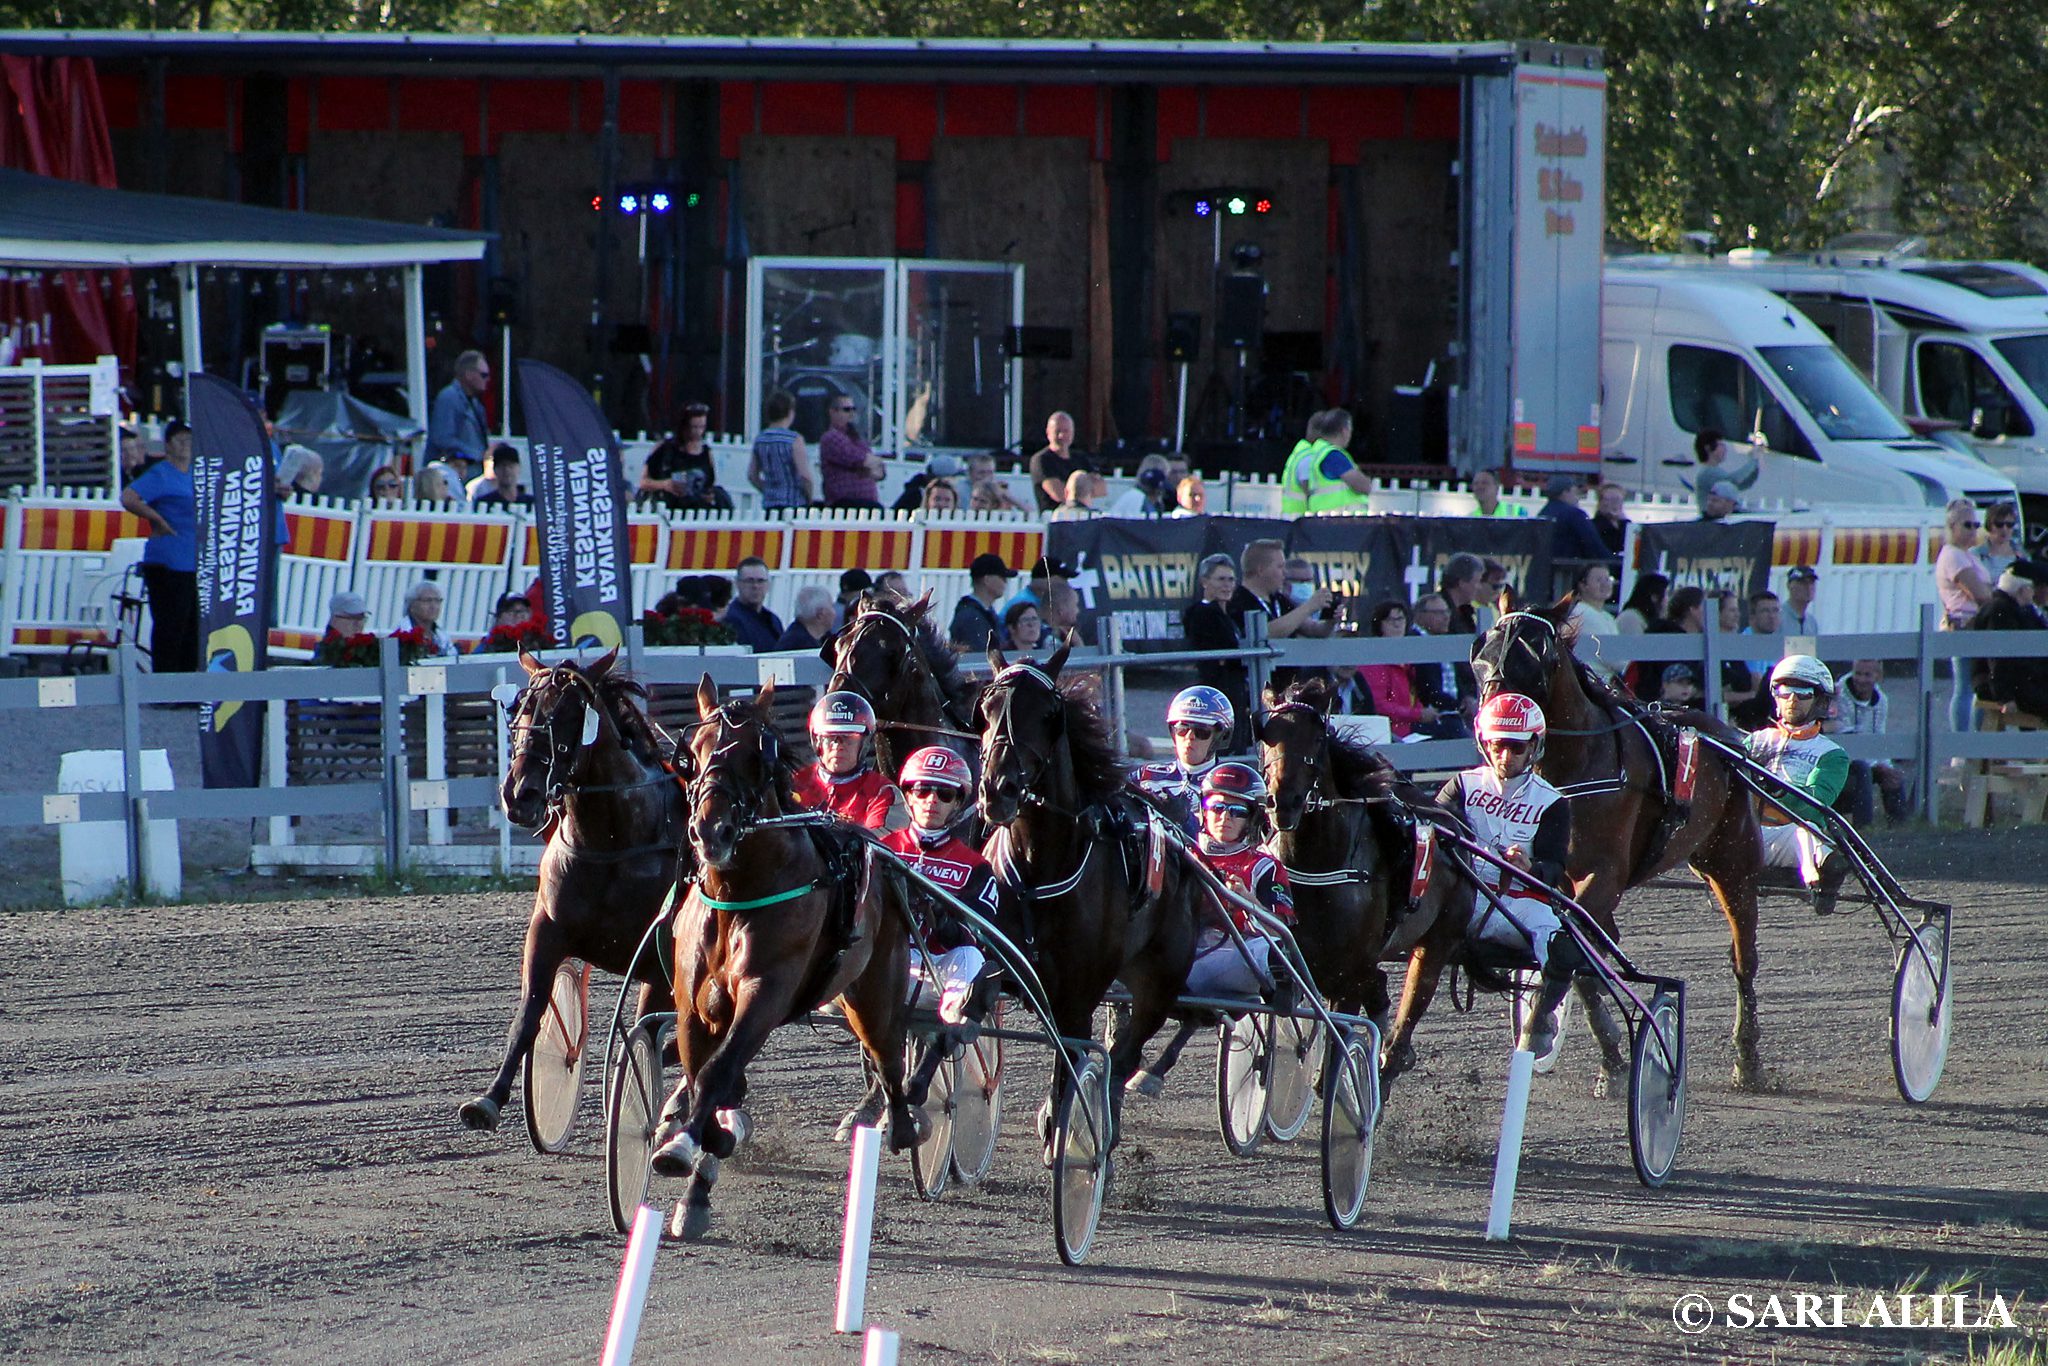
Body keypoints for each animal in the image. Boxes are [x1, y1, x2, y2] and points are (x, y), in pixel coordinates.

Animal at [459, 648, 684, 1134]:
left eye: (567, 718)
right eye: (521, 712)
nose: (519, 794)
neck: (613, 842)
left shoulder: (658, 959)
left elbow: (648, 1033)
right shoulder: (547, 929)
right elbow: (530, 1012)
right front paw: (488, 1100)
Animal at [650, 674, 922, 1240]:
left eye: (756, 754)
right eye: (693, 753)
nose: (710, 831)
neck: (738, 893)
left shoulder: (766, 992)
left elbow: (716, 1073)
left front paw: (687, 1145)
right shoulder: (693, 1006)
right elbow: (705, 1074)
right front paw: (701, 1151)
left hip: (873, 990)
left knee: (888, 1052)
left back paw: (903, 1124)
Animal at [976, 639, 1202, 1150]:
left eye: (1048, 714)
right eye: (987, 707)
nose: (998, 789)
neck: (1040, 866)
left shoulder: (1079, 990)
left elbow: (1075, 1060)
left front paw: (1065, 1133)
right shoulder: (1003, 967)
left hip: (1162, 976)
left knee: (1126, 1052)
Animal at [1473, 601, 1766, 1089]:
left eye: (1535, 659)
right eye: (1480, 657)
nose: (1493, 730)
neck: (1573, 769)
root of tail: (1722, 734)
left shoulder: (1604, 873)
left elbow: (1569, 949)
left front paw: (1537, 1029)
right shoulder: (1555, 880)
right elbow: (1577, 960)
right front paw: (1610, 1057)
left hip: (1732, 861)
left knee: (1744, 955)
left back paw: (1749, 1058)